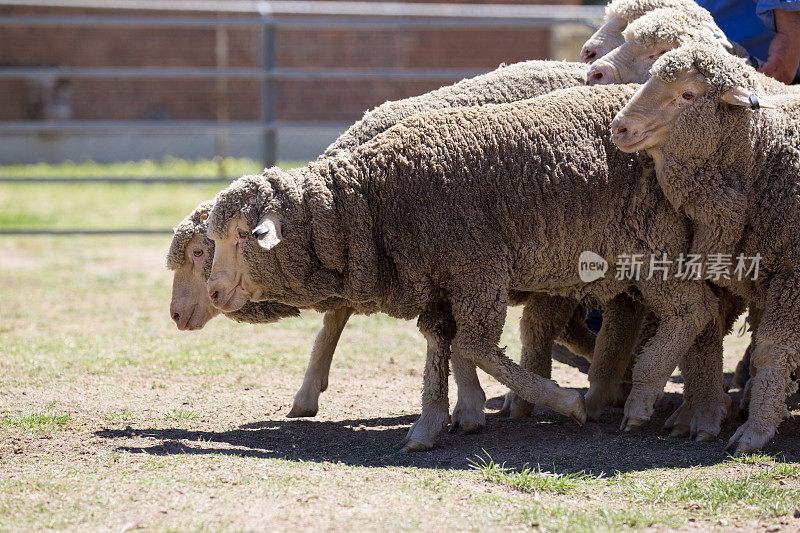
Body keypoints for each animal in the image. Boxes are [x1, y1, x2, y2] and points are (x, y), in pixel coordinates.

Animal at [205, 84, 724, 448]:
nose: (212, 292)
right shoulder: (441, 279)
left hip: (656, 244)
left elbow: (471, 345)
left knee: (693, 311)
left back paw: (644, 399)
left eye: (241, 235)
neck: (372, 199)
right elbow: (440, 343)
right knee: (694, 313)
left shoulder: (479, 267)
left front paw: (564, 402)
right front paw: (430, 425)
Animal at [608, 42, 800, 454]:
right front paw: (699, 415)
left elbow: (771, 350)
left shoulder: (793, 277)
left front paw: (755, 431)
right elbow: (704, 338)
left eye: (688, 95)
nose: (620, 128)